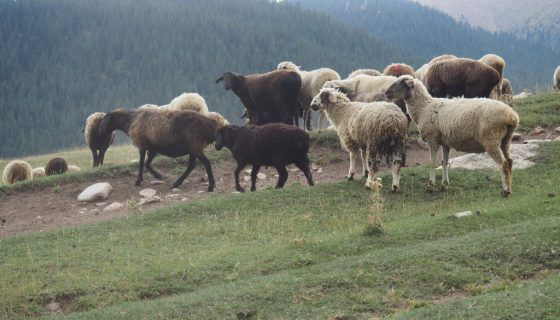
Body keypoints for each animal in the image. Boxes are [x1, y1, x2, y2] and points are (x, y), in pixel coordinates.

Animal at [384, 76, 520, 199]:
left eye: (401, 83)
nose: (386, 93)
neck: (424, 107)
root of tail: (512, 117)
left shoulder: (432, 140)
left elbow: (432, 163)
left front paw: (430, 186)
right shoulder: (445, 142)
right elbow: (444, 162)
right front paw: (444, 185)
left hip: (491, 139)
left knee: (503, 164)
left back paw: (505, 191)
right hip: (505, 140)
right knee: (509, 161)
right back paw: (510, 188)